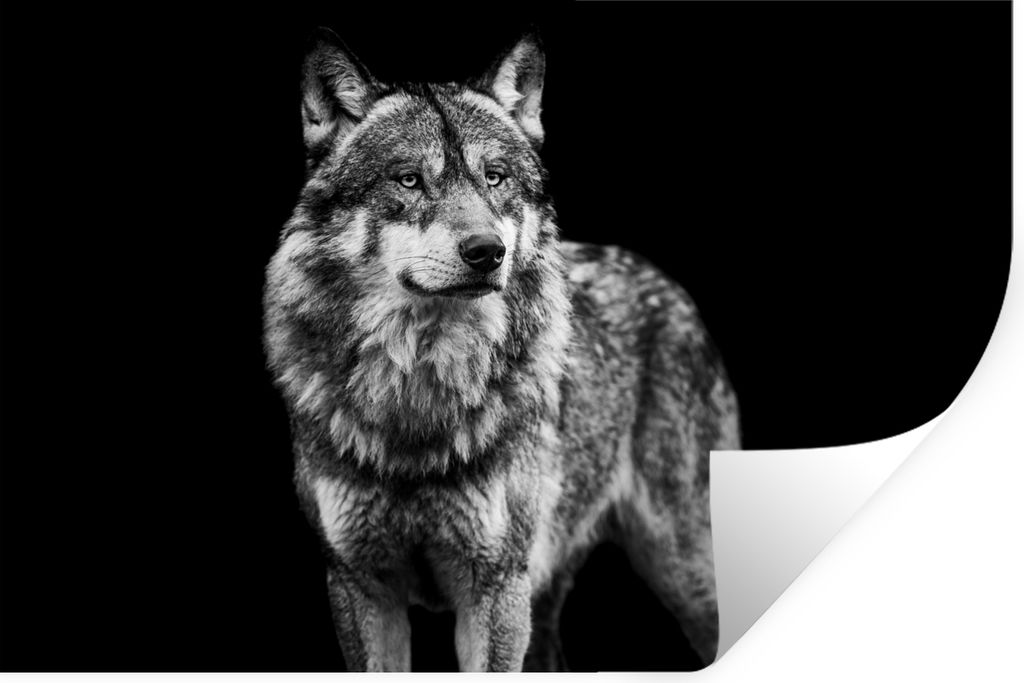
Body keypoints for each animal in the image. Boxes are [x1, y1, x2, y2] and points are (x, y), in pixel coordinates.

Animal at [263, 28, 740, 672]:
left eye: (494, 177)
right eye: (409, 180)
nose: (487, 251)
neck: (420, 391)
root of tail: (667, 285)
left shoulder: (495, 588)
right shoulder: (359, 585)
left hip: (680, 568)